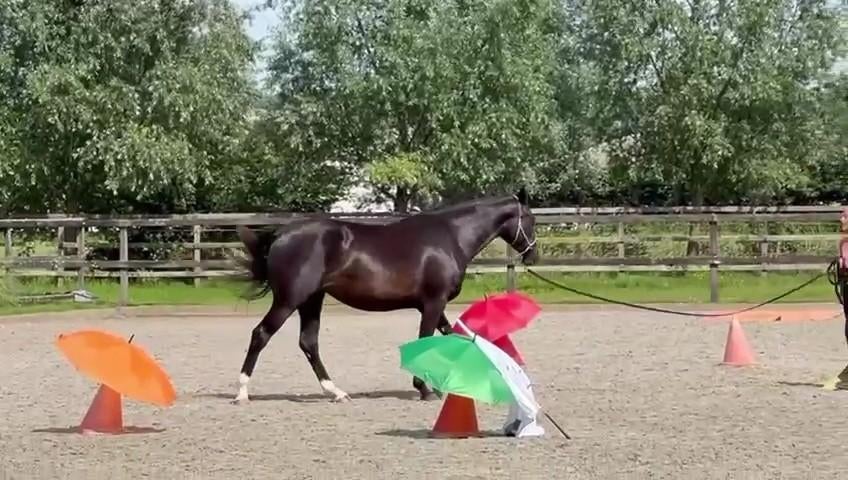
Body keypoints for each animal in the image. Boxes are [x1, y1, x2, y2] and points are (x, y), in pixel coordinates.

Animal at [232, 187, 539, 404]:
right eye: (530, 219)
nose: (533, 255)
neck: (451, 237)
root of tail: (281, 234)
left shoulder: (432, 306)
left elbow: (453, 336)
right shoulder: (432, 302)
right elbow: (427, 339)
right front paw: (425, 389)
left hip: (311, 300)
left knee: (308, 342)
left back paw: (337, 392)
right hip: (289, 300)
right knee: (261, 334)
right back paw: (242, 392)